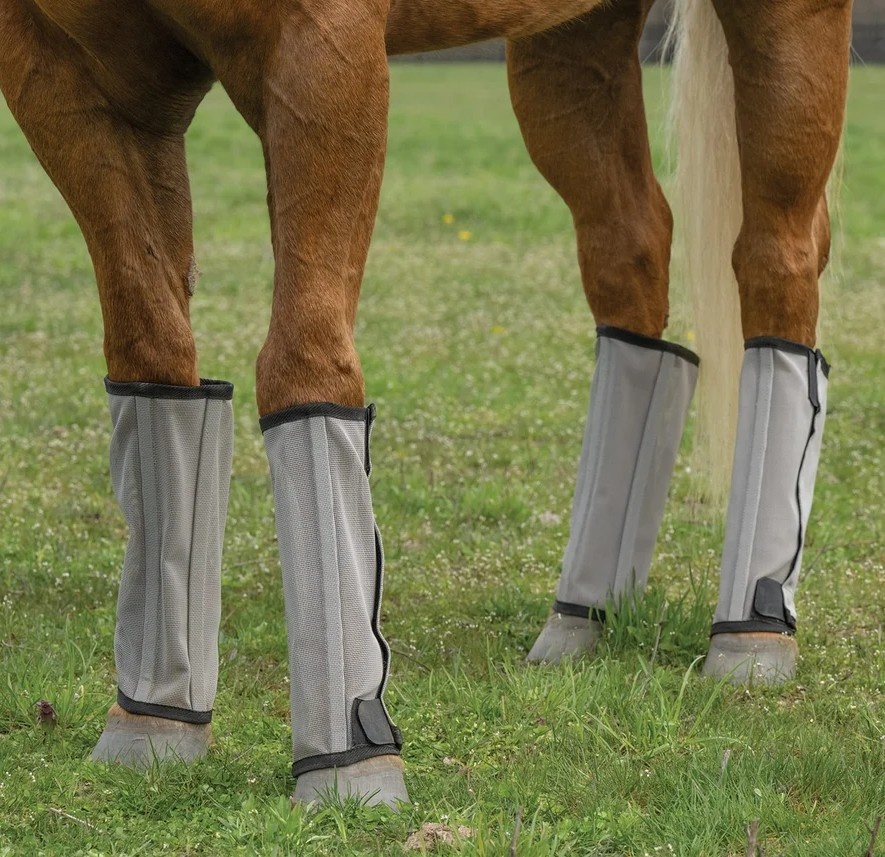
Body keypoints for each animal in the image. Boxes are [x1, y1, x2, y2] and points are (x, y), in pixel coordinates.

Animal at [0, 0, 852, 809]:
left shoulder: (321, 55)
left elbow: (303, 358)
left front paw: (348, 766)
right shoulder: (67, 80)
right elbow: (152, 354)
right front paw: (151, 723)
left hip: (785, 33)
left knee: (779, 260)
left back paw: (750, 631)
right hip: (570, 46)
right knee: (634, 254)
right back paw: (583, 614)